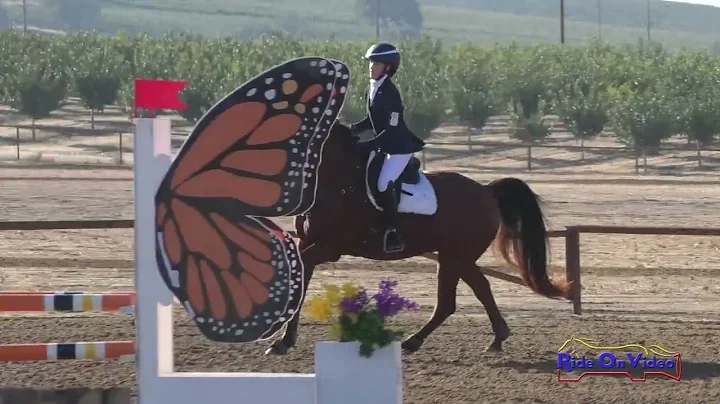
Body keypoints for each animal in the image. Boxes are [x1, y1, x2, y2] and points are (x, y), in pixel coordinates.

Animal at [262, 120, 572, 356]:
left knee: (458, 298)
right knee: (473, 291)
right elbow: (300, 280)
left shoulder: (330, 247)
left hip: (455, 257)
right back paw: (491, 339)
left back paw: (420, 342)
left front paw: (281, 339)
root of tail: (486, 191)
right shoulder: (308, 243)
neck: (336, 179)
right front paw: (283, 340)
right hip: (455, 257)